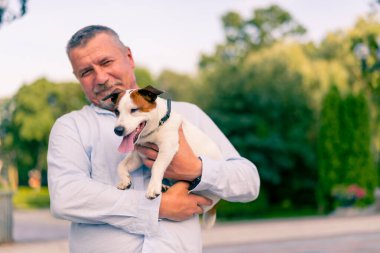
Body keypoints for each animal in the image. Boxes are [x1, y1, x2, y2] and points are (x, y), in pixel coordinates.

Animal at [103, 85, 223, 227]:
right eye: (116, 111)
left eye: (134, 110)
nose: (118, 130)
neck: (158, 126)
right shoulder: (139, 156)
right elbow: (121, 165)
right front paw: (125, 180)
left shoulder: (167, 148)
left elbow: (157, 166)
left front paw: (152, 188)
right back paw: (164, 187)